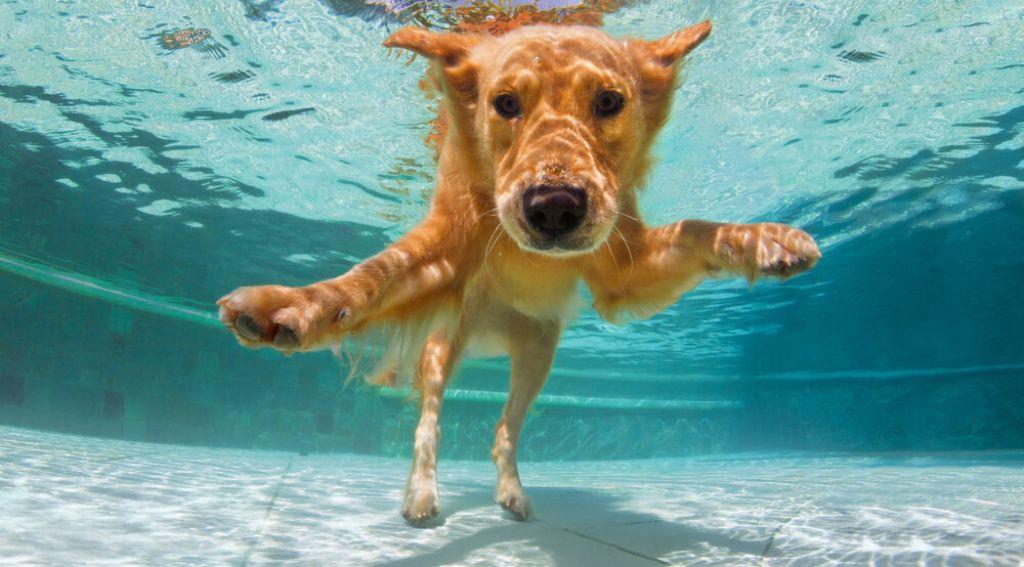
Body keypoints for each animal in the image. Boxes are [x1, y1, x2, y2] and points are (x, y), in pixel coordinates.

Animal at [214, 22, 815, 524]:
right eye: (505, 103)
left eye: (609, 102)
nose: (554, 207)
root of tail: (491, 331)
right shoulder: (442, 251)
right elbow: (370, 279)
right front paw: (288, 306)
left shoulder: (623, 268)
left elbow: (693, 228)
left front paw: (766, 240)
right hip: (444, 344)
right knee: (428, 422)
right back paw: (422, 495)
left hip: (539, 351)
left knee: (505, 429)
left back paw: (511, 493)